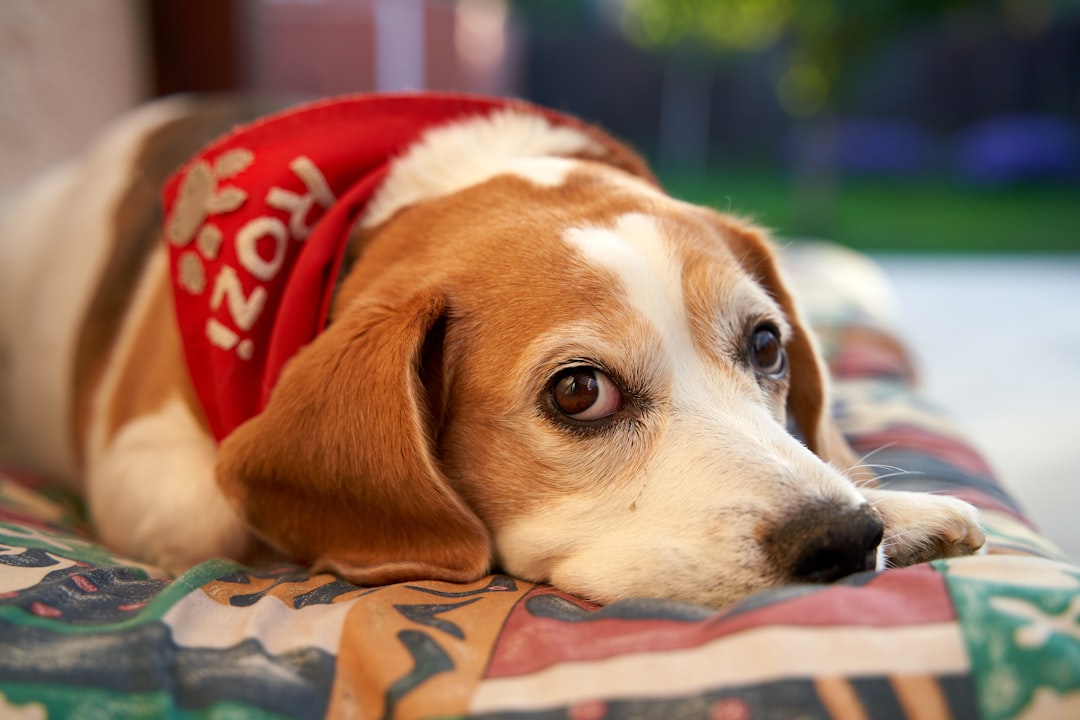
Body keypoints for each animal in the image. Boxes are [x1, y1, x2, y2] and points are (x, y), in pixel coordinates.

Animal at [0, 92, 984, 604]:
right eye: (579, 392)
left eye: (768, 344)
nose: (843, 539)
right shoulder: (143, 461)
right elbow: (213, 510)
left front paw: (899, 508)